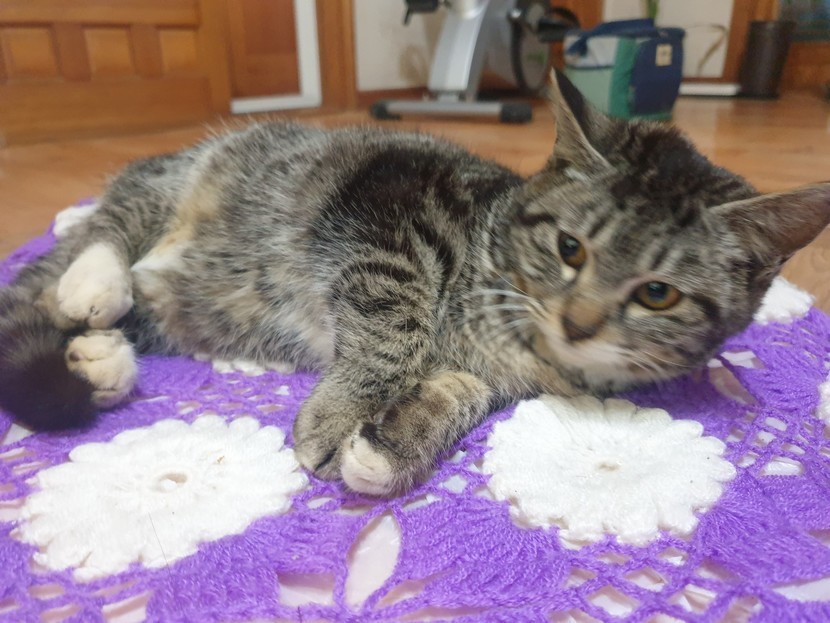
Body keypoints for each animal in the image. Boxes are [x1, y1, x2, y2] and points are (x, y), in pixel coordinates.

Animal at [1, 72, 828, 496]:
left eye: (658, 293)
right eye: (569, 248)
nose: (580, 323)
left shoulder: (487, 373)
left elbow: (457, 392)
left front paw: (394, 442)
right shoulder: (389, 204)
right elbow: (396, 319)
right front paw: (339, 413)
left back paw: (99, 359)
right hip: (176, 181)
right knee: (103, 229)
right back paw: (93, 284)